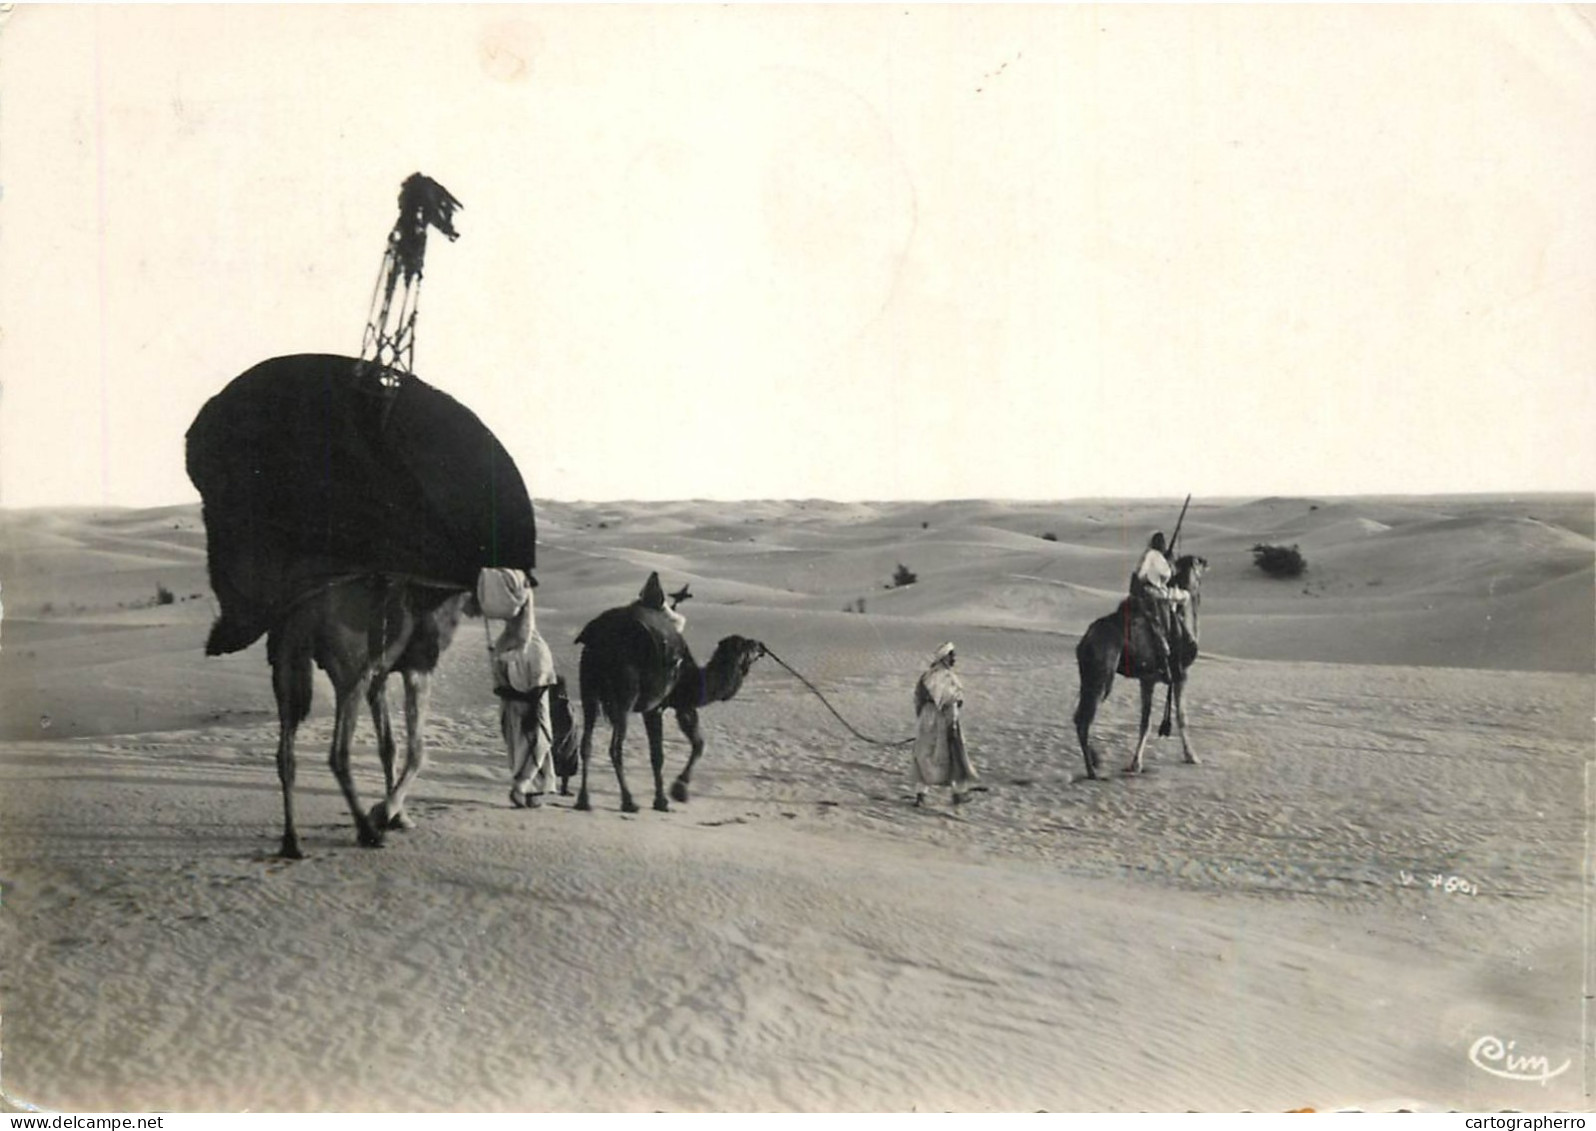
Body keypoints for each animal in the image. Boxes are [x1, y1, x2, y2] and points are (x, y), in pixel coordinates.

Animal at [261, 574, 469, 855]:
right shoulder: (419, 665)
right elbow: (416, 750)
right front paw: (385, 812)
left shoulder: (378, 676)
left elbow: (388, 746)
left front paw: (399, 816)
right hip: (350, 676)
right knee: (338, 753)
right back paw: (367, 832)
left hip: (286, 667)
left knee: (286, 755)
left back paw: (291, 843)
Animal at [574, 587, 766, 816]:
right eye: (747, 646)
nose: (761, 646)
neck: (692, 677)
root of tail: (599, 638)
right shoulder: (664, 706)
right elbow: (665, 753)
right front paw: (670, 795)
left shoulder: (662, 707)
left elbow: (686, 746)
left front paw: (670, 795)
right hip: (624, 696)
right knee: (615, 747)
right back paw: (628, 802)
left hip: (588, 689)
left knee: (586, 743)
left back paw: (583, 801)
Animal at [1072, 555, 1206, 775]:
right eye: (1198, 564)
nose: (1206, 564)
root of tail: (1086, 640)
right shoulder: (1182, 674)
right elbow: (1181, 717)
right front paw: (1192, 757)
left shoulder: (1147, 679)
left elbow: (1145, 721)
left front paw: (1135, 763)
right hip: (1102, 677)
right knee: (1084, 719)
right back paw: (1093, 771)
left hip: (1088, 676)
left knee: (1078, 716)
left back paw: (1096, 762)